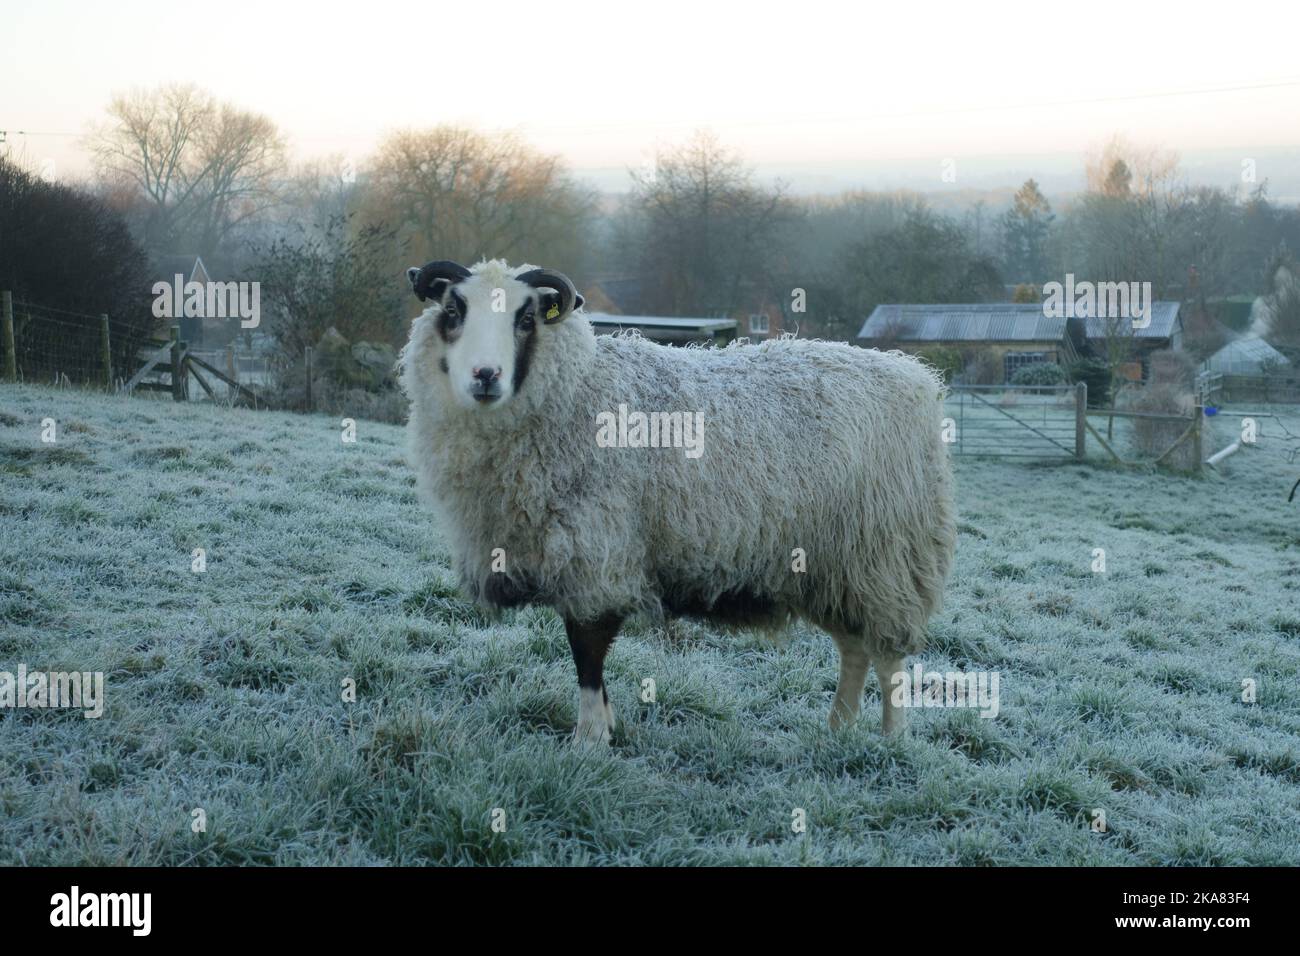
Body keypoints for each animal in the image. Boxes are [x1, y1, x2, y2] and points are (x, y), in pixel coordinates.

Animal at [399, 258, 956, 744]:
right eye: (453, 311)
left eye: (526, 317)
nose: (484, 375)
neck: (577, 392)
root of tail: (917, 379)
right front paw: (607, 726)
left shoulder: (598, 554)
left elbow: (587, 653)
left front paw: (589, 741)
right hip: (834, 567)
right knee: (855, 648)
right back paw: (838, 729)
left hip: (883, 555)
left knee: (887, 656)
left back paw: (891, 739)